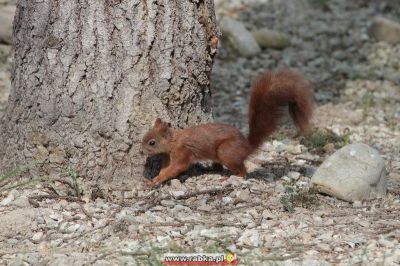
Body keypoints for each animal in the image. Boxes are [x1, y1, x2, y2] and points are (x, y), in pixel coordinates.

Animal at [142, 69, 314, 188]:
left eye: (152, 142)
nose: (141, 151)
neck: (173, 141)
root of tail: (247, 147)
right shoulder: (168, 155)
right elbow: (166, 169)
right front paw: (154, 179)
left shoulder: (182, 152)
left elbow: (177, 167)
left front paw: (155, 180)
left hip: (227, 152)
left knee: (243, 170)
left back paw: (232, 177)